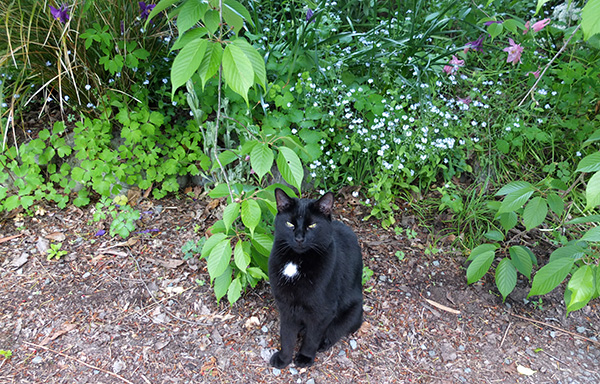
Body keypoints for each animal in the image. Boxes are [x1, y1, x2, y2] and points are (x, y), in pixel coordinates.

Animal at [270, 189, 364, 368]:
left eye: (312, 225)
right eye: (290, 224)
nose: (299, 238)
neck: (296, 261)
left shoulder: (322, 312)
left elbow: (312, 337)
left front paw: (305, 357)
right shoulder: (286, 307)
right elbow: (286, 335)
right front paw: (284, 359)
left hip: (352, 312)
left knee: (334, 331)